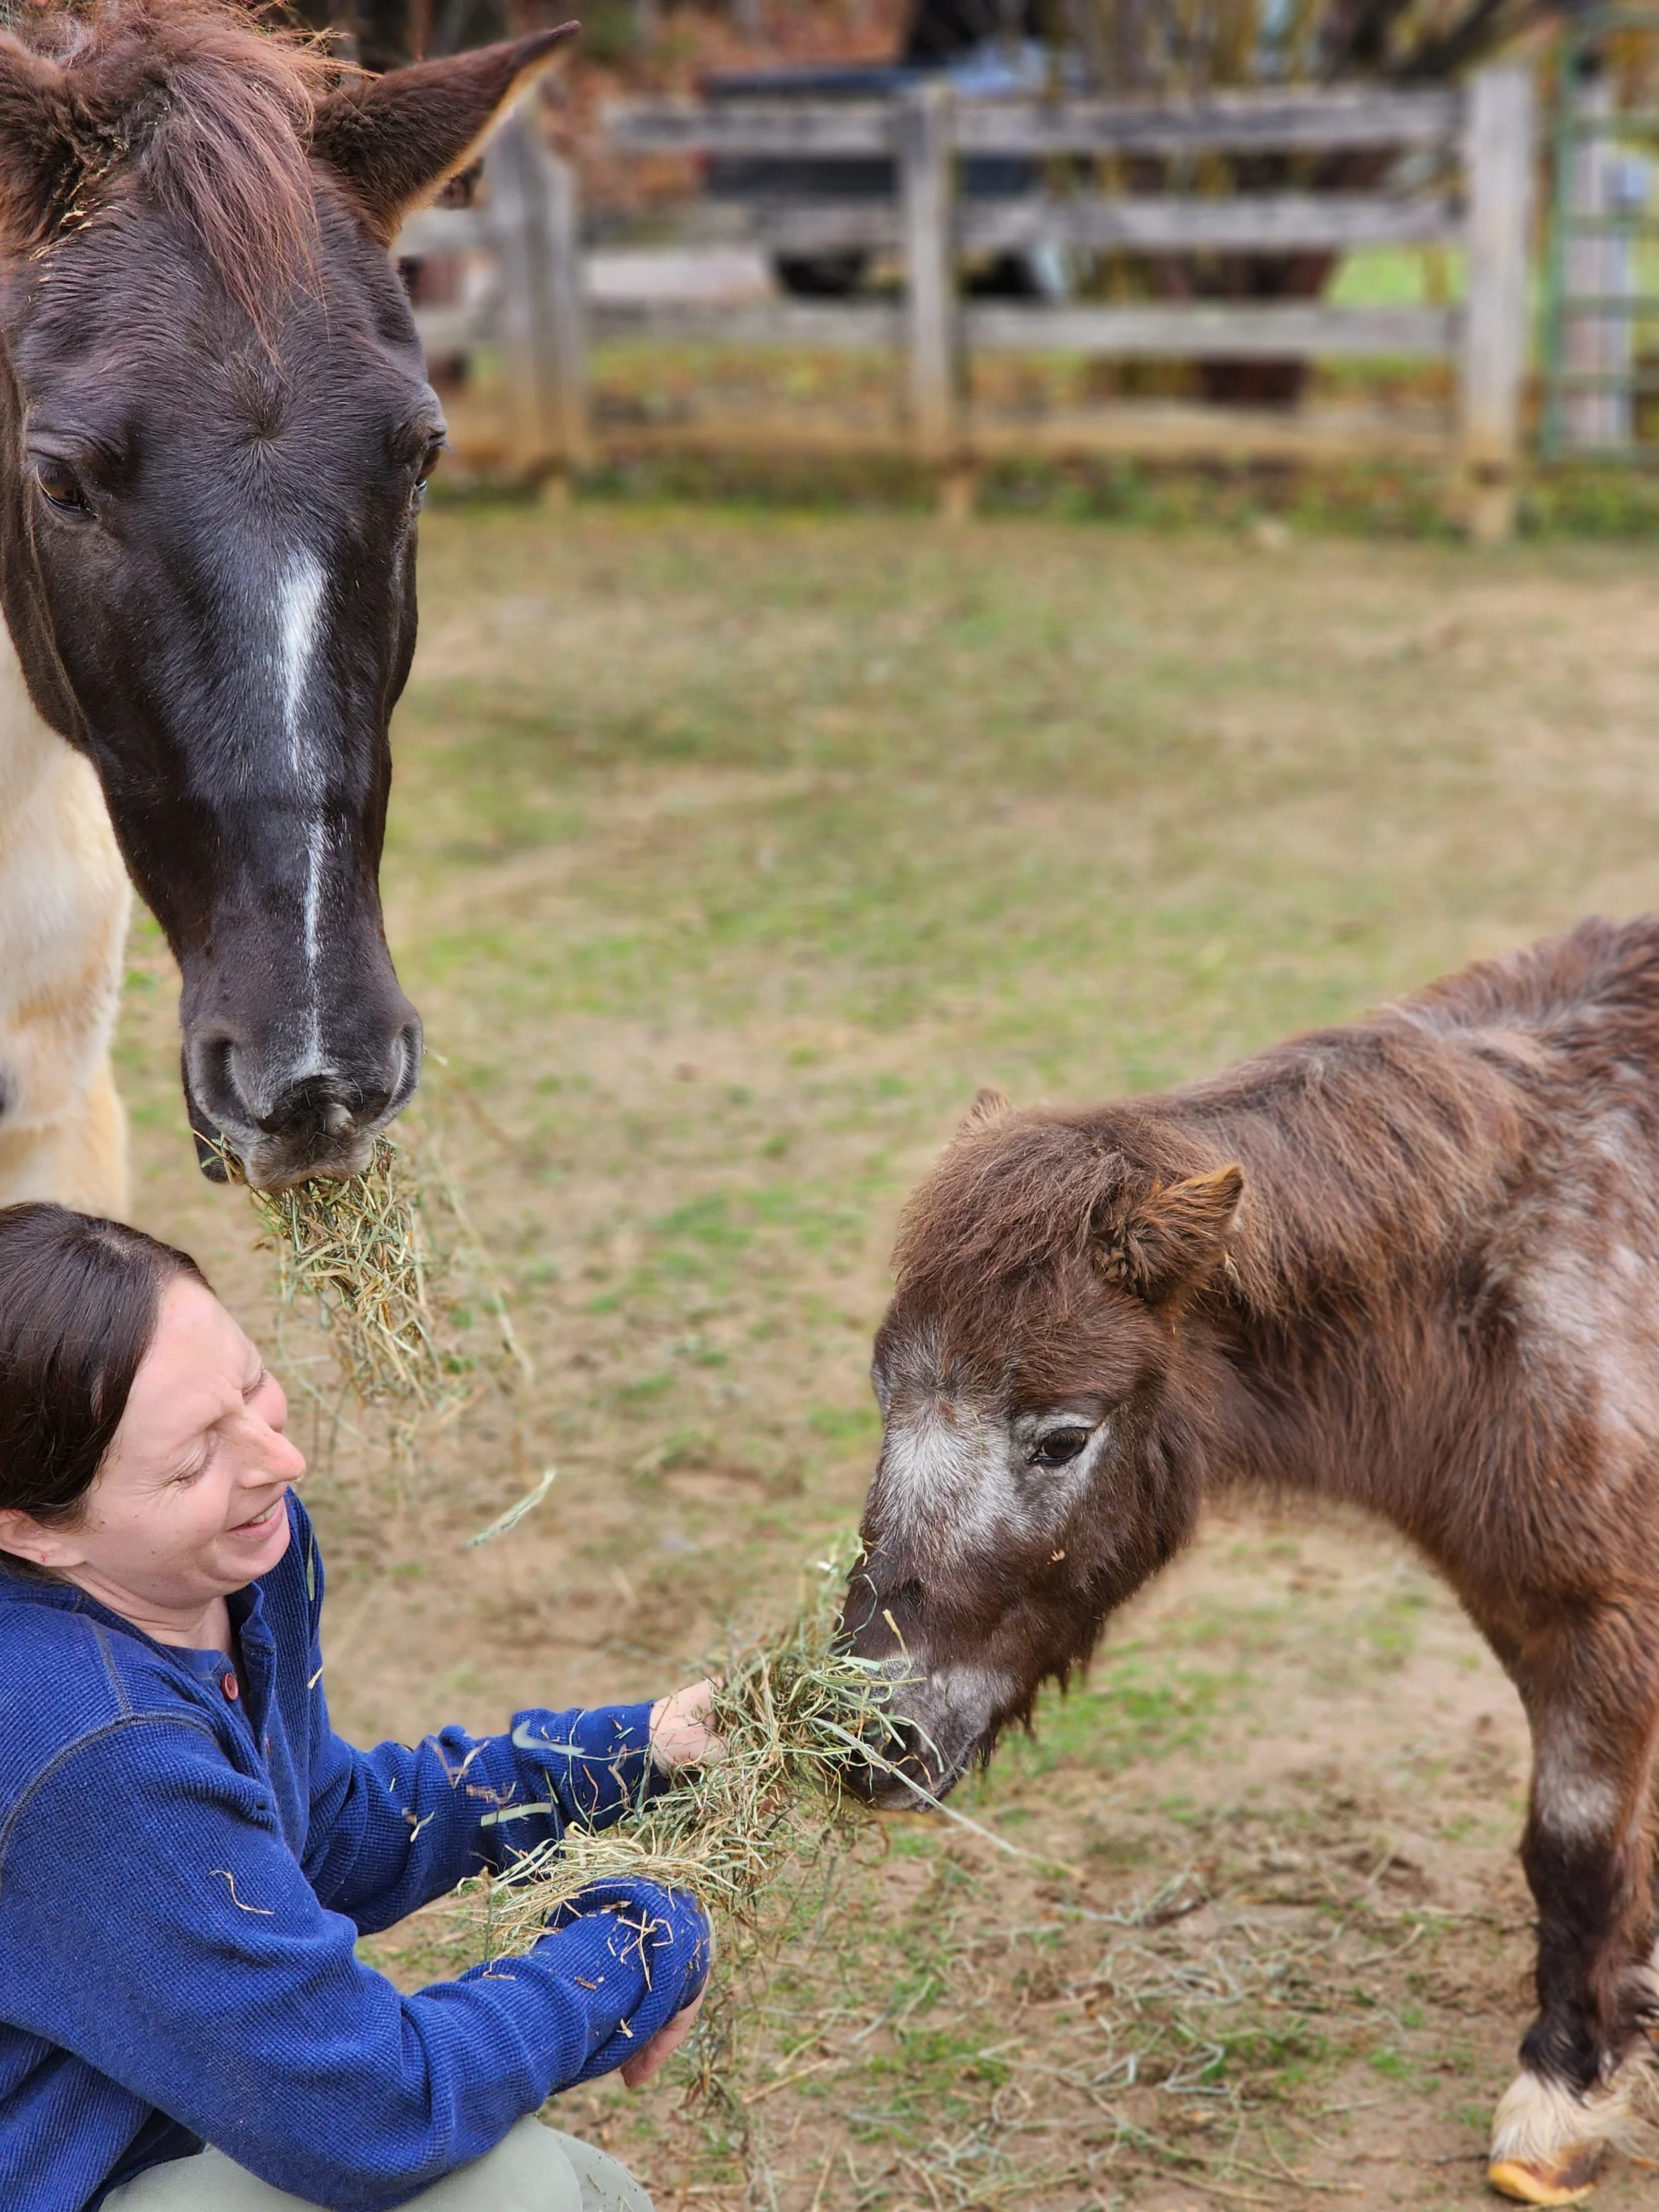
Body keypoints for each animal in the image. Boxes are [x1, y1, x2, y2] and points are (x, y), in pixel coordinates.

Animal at [838, 914, 1659, 2208]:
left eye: (1062, 1437)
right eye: (883, 1400)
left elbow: (1572, 1843)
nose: (866, 1740)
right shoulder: (1522, 1604)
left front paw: (1564, 2094)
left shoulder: (1606, 1622)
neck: (1517, 1282)